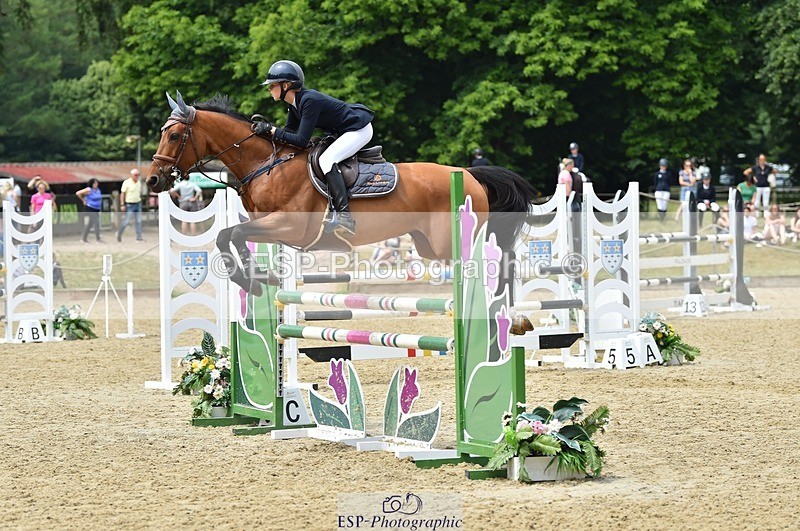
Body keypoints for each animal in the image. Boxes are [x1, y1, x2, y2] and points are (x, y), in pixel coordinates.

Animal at [147, 92, 534, 296]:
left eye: (174, 135)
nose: (152, 180)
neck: (265, 163)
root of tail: (468, 175)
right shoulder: (271, 228)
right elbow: (229, 236)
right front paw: (259, 279)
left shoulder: (289, 226)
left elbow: (232, 234)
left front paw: (253, 280)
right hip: (427, 244)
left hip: (448, 242)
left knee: (491, 259)